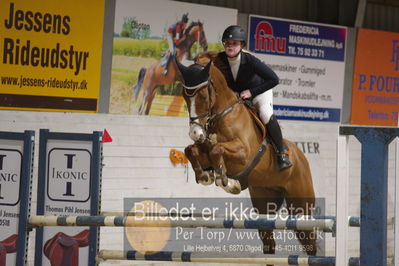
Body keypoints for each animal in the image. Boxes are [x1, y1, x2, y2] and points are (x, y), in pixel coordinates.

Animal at [177, 53, 318, 258]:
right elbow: (191, 150)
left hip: (301, 206)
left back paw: (283, 160)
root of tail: (301, 156)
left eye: (203, 96)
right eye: (184, 96)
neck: (220, 115)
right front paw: (205, 175)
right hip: (265, 201)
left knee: (310, 241)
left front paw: (225, 180)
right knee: (269, 239)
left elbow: (217, 149)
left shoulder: (243, 154)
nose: (195, 133)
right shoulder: (202, 148)